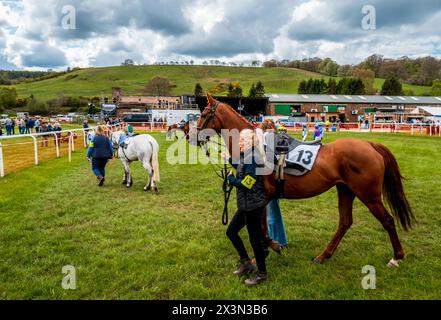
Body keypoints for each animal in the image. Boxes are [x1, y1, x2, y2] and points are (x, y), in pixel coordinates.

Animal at [194, 95, 414, 268]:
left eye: (203, 114)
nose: (191, 136)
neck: (255, 147)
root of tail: (370, 144)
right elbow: (262, 227)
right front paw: (267, 251)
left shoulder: (263, 196)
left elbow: (263, 228)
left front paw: (271, 249)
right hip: (345, 190)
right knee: (345, 222)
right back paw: (323, 256)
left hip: (369, 195)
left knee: (387, 220)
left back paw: (396, 257)